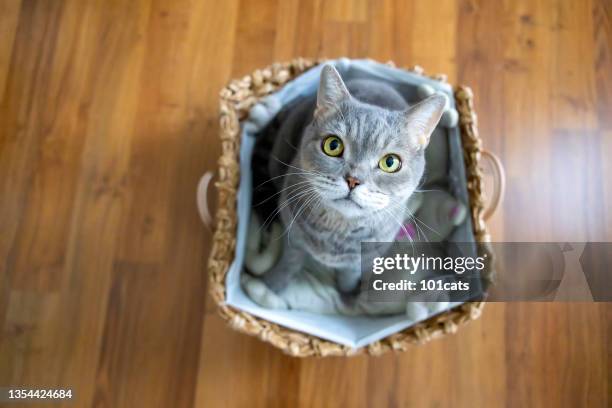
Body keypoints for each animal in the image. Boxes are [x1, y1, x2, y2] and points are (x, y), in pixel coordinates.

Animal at [247, 63, 444, 300]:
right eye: (333, 145)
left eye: (390, 162)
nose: (353, 180)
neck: (338, 231)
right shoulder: (293, 237)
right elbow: (289, 262)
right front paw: (272, 285)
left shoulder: (363, 258)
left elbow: (349, 275)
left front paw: (349, 294)